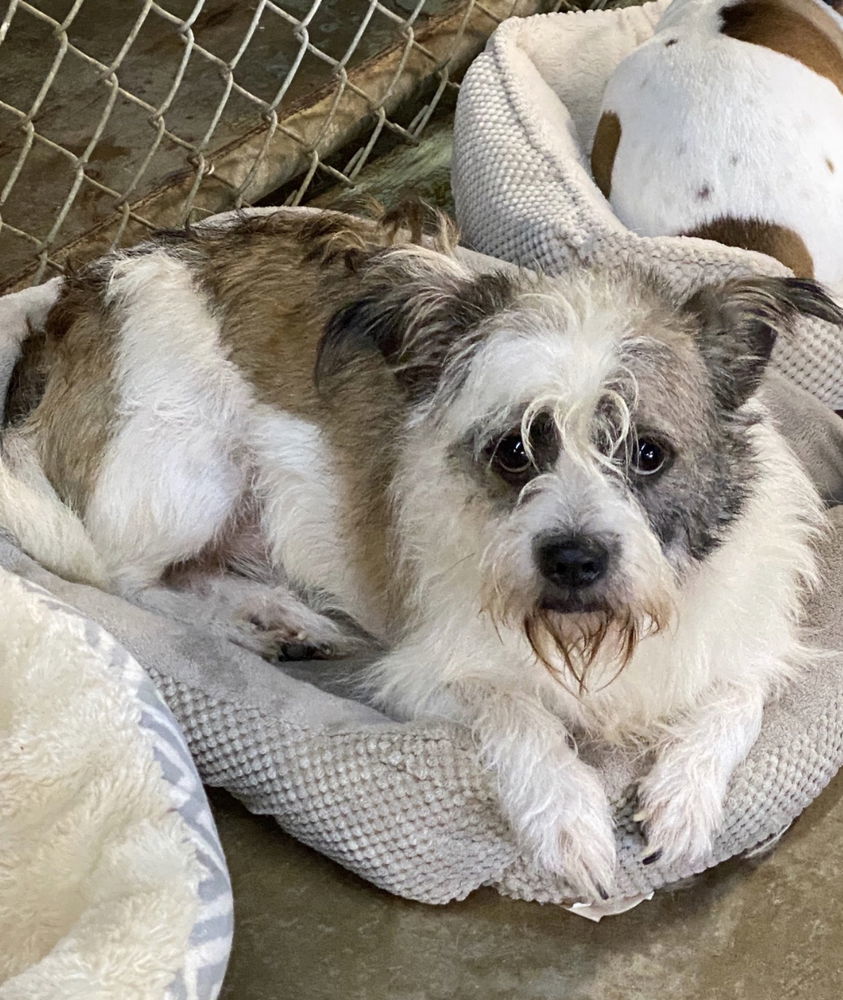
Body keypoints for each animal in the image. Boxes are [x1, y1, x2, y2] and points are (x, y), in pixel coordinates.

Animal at [3, 207, 840, 896]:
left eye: (646, 453)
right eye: (513, 451)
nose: (572, 561)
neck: (594, 635)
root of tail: (73, 299)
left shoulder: (748, 638)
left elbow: (735, 697)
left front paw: (684, 796)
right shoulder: (430, 668)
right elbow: (517, 714)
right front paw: (566, 820)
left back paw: (281, 616)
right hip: (189, 476)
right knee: (128, 576)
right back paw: (254, 621)